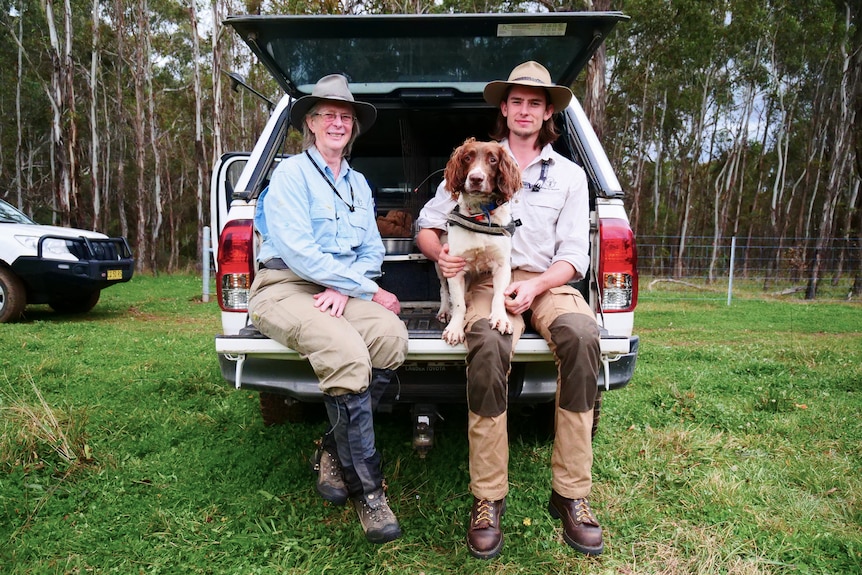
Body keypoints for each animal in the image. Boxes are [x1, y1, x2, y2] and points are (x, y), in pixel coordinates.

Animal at [436, 138, 524, 346]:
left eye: (493, 160)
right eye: (467, 158)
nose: (476, 178)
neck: (480, 215)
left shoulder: (502, 266)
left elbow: (499, 296)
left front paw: (501, 318)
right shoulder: (454, 265)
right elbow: (458, 303)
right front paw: (454, 328)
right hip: (440, 264)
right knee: (444, 289)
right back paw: (444, 310)